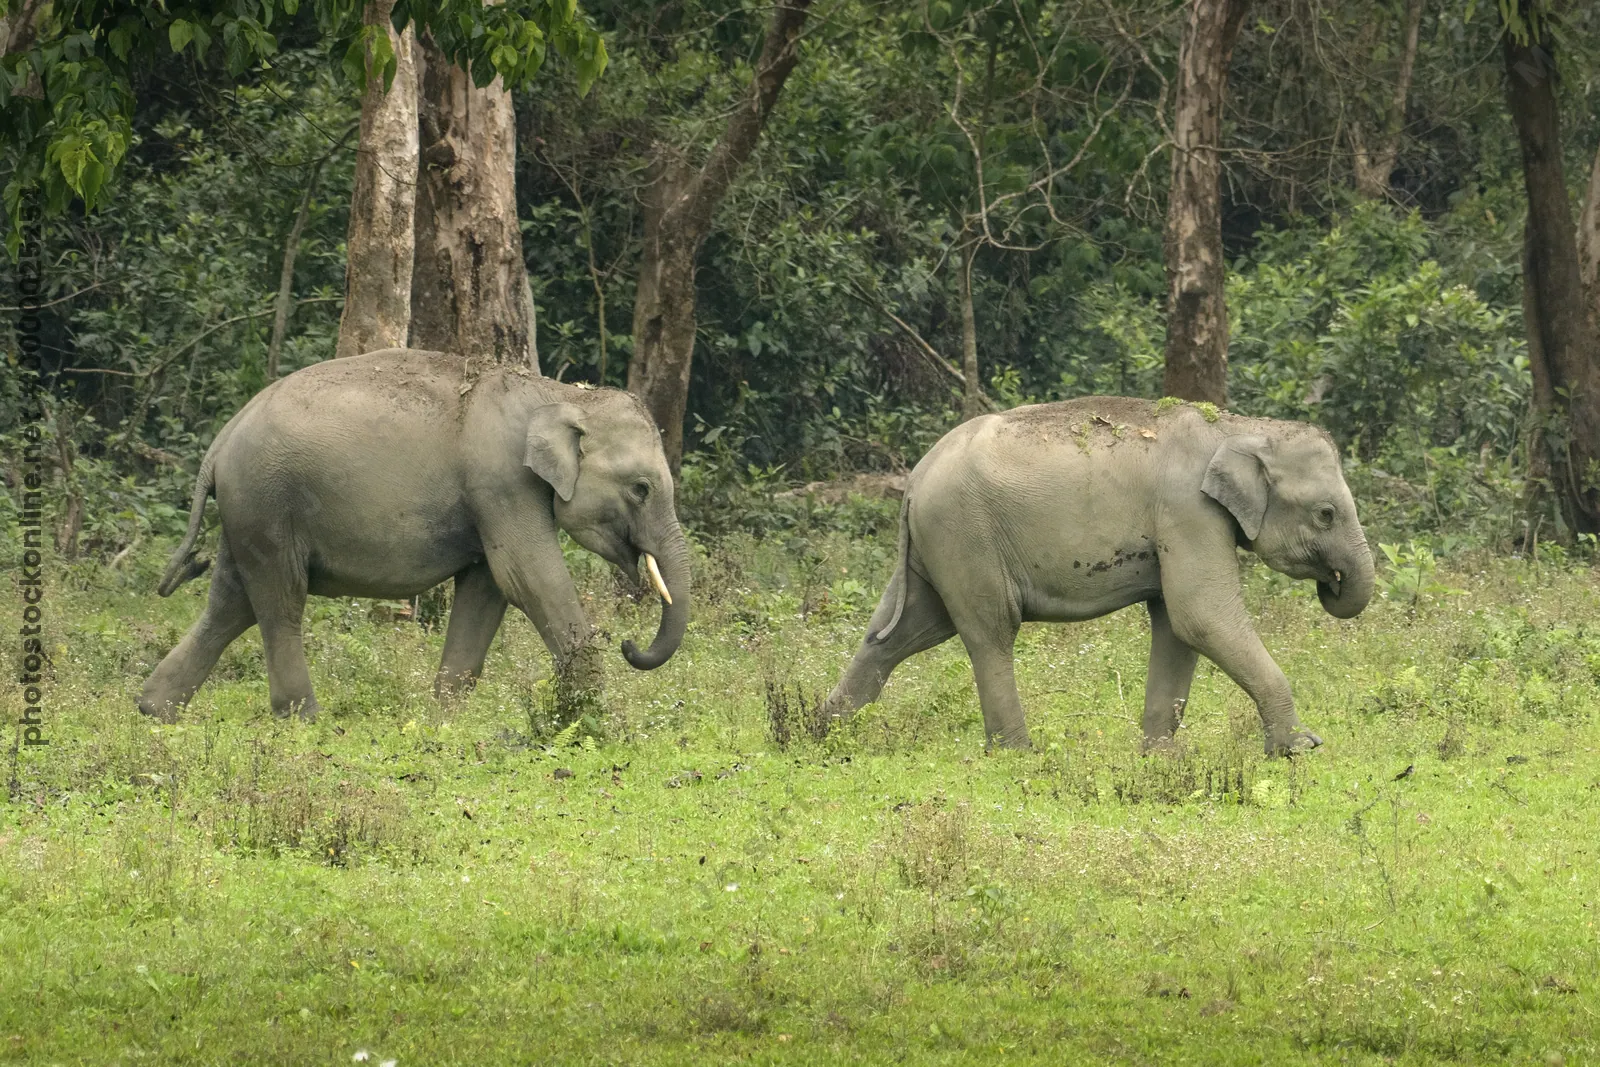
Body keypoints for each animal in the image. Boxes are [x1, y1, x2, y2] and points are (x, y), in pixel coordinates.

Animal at [138, 348, 690, 722]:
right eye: (641, 488)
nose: (628, 644)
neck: (561, 394)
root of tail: (219, 444)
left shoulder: (493, 498)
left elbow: (488, 588)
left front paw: (445, 719)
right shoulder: (502, 482)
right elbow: (529, 579)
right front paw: (595, 716)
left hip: (248, 514)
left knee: (230, 602)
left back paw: (153, 711)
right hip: (267, 502)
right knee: (280, 604)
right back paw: (304, 719)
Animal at [822, 397, 1374, 756]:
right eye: (1326, 514)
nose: (1332, 583)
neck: (1235, 427)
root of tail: (914, 477)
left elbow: (1177, 626)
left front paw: (1160, 758)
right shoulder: (1187, 510)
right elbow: (1201, 616)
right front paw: (1301, 748)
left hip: (936, 547)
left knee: (897, 632)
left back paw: (822, 735)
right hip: (965, 536)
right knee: (990, 632)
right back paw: (1020, 754)